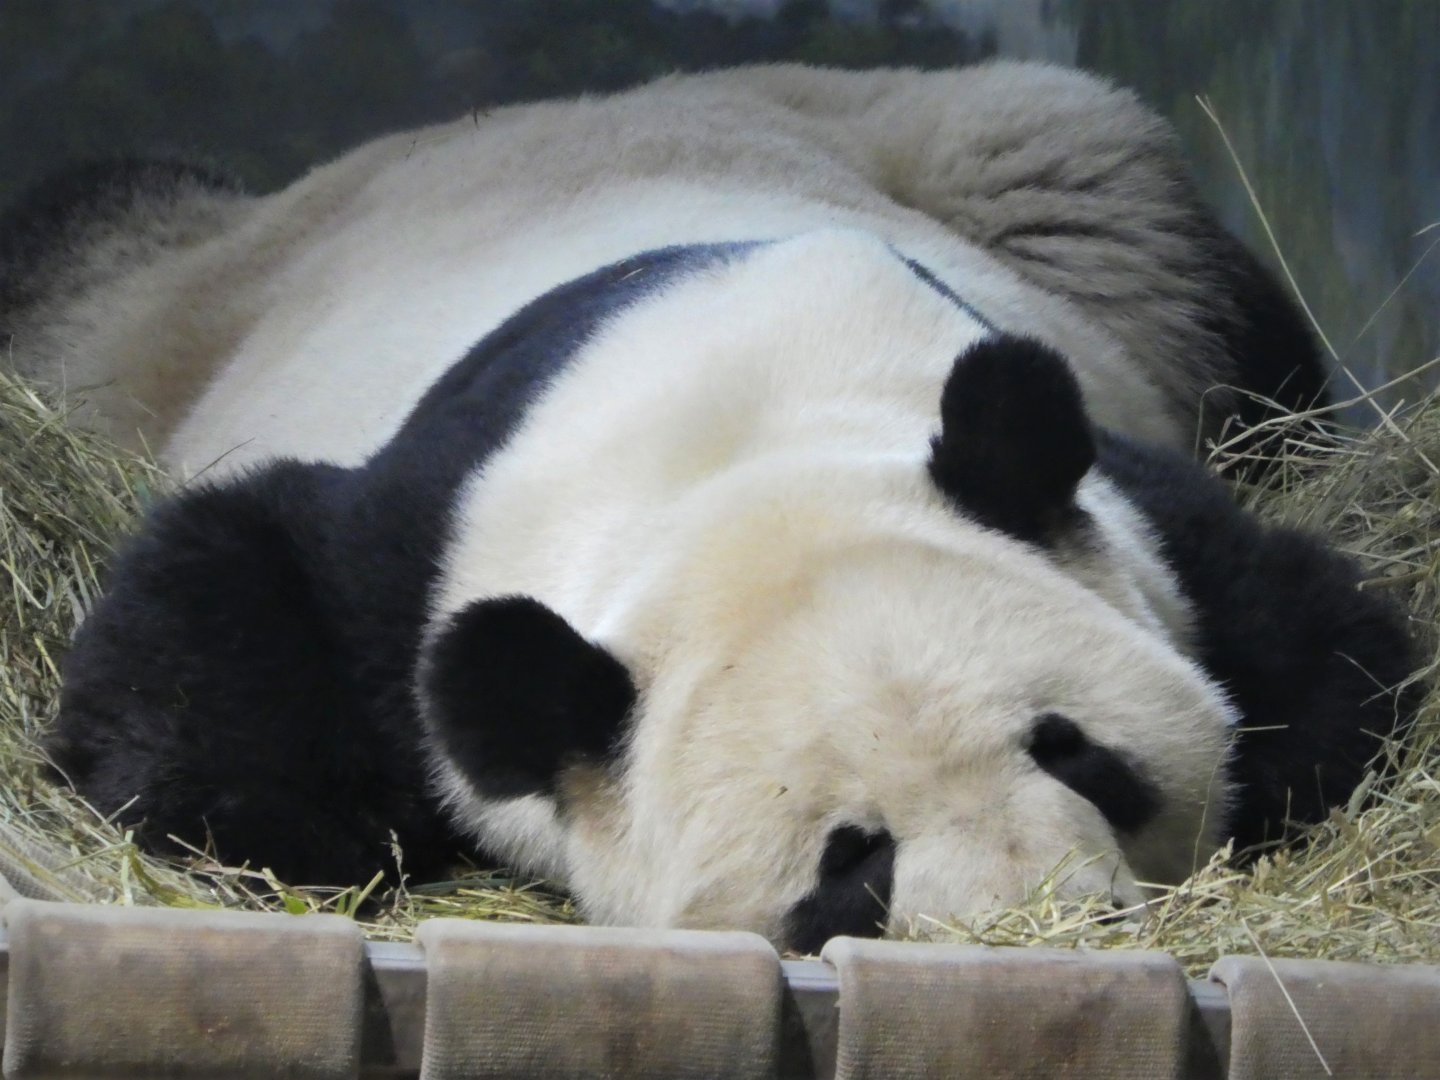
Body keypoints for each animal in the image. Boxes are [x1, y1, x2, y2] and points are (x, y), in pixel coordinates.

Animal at [5, 63, 1416, 951]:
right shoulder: (420, 541)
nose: (1036, 927)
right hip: (135, 314)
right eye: (851, 858)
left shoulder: (1115, 491)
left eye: (1071, 749)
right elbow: (221, 605)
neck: (729, 440)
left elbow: (1332, 657)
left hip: (1026, 166)